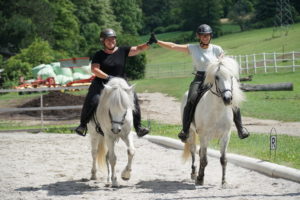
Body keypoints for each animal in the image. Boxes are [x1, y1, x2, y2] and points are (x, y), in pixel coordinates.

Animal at [182, 56, 245, 186]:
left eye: (231, 77)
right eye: (217, 77)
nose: (227, 99)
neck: (217, 110)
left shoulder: (225, 136)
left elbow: (223, 159)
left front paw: (224, 181)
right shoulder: (204, 135)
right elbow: (204, 159)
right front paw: (200, 179)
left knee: (199, 152)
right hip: (191, 132)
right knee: (193, 151)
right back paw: (194, 174)